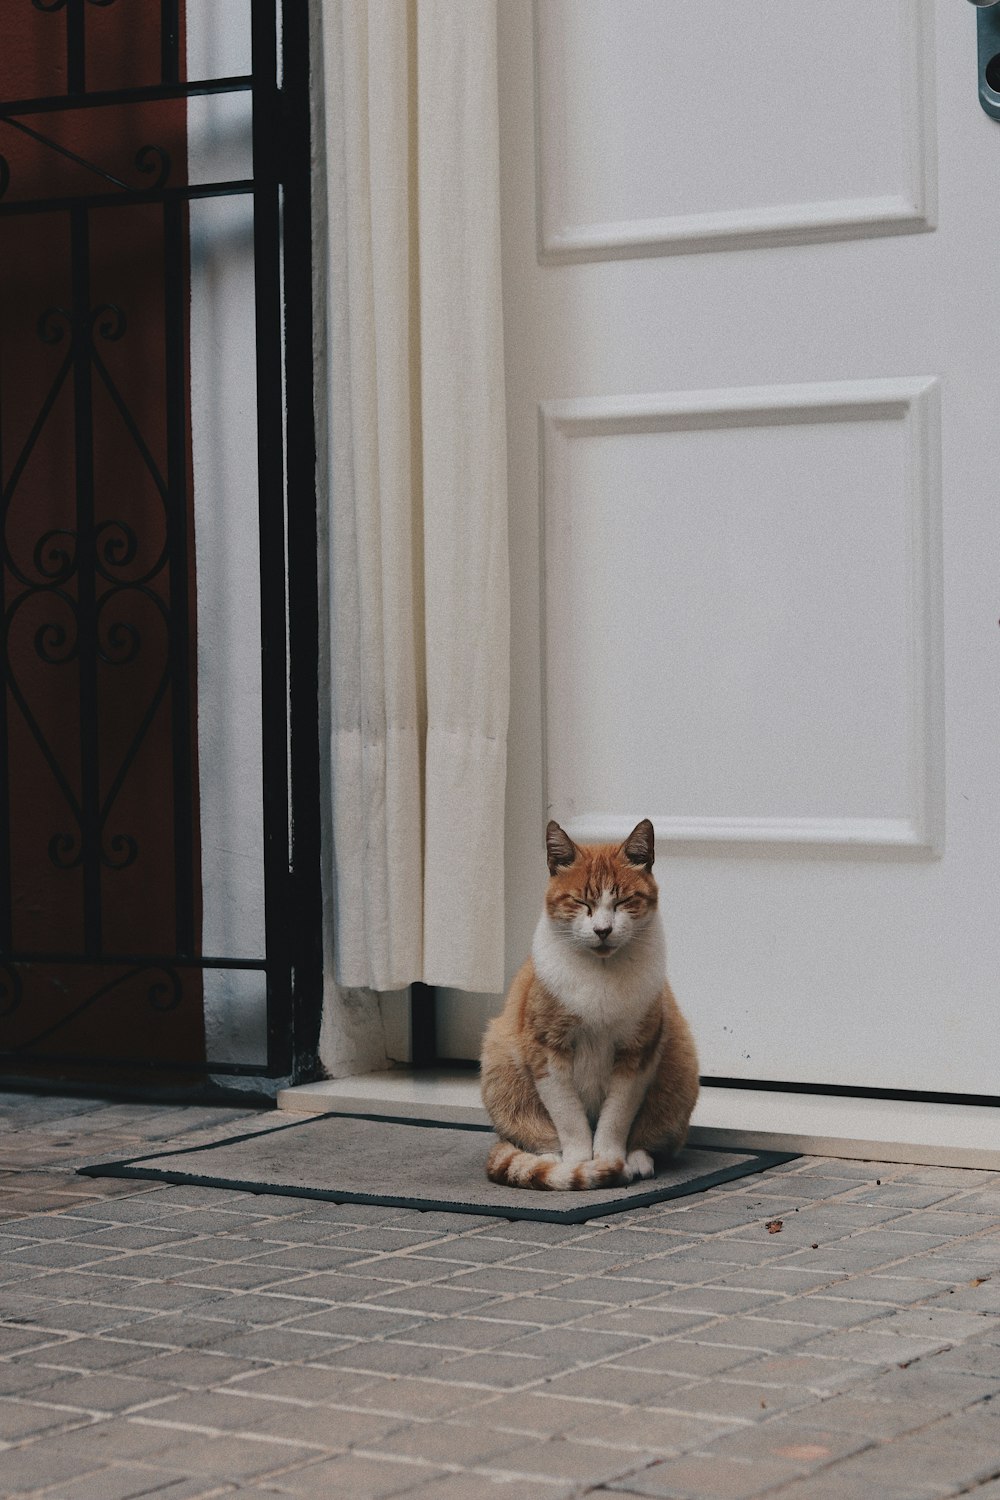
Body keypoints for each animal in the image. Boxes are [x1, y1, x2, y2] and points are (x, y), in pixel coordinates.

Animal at [479, 816, 701, 1188]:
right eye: (581, 903)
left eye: (623, 902)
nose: (602, 930)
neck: (601, 972)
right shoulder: (547, 1050)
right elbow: (569, 1117)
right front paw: (580, 1163)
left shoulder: (637, 1052)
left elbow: (617, 1116)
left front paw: (610, 1158)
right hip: (501, 1064)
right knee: (531, 1137)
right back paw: (550, 1160)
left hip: (679, 1067)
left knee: (650, 1137)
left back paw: (637, 1160)